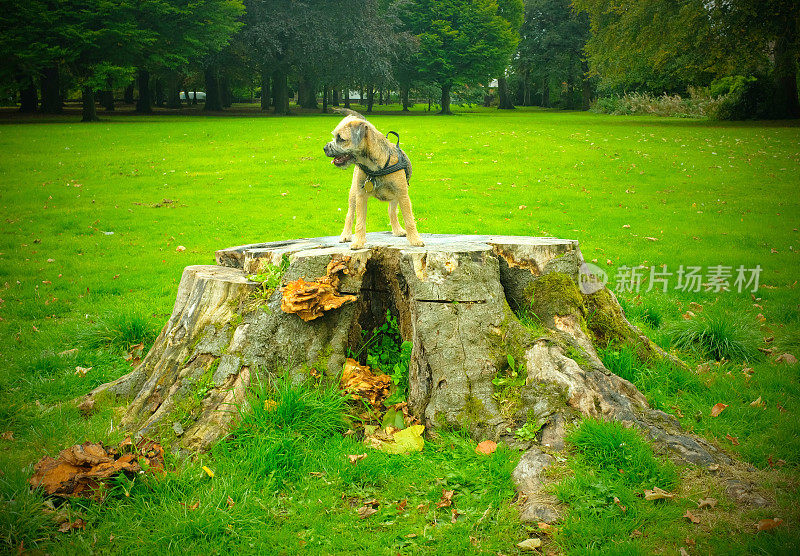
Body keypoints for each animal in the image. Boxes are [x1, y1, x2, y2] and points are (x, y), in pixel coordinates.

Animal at [320, 109, 422, 249]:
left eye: (340, 138)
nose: (324, 148)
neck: (375, 166)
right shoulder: (361, 196)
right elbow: (360, 222)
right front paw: (358, 241)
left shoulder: (403, 195)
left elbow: (409, 219)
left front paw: (415, 239)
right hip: (353, 194)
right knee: (350, 214)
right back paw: (345, 235)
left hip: (395, 196)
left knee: (392, 211)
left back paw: (397, 230)